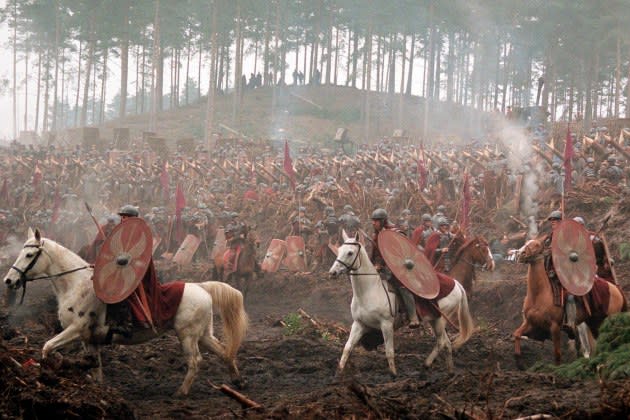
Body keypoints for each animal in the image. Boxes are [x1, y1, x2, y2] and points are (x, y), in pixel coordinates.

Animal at [3, 228, 249, 396]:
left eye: (29, 256)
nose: (9, 280)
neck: (76, 284)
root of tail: (202, 287)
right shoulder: (88, 339)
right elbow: (96, 367)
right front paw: (98, 391)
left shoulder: (76, 329)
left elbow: (47, 347)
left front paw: (45, 374)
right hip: (203, 334)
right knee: (224, 351)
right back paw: (237, 381)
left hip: (187, 335)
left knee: (196, 361)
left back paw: (181, 392)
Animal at [330, 230, 474, 374]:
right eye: (339, 250)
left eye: (350, 253)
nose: (333, 272)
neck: (369, 290)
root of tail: (456, 283)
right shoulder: (359, 324)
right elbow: (347, 348)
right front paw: (339, 372)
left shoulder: (386, 325)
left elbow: (389, 352)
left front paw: (393, 374)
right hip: (434, 319)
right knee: (446, 343)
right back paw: (448, 370)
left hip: (440, 319)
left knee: (442, 342)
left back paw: (429, 363)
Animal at [516, 240, 628, 368]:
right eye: (526, 243)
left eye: (537, 245)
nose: (521, 254)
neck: (539, 294)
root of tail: (615, 288)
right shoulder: (530, 322)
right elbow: (516, 334)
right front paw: (518, 361)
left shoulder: (554, 327)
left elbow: (557, 354)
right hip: (595, 322)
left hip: (608, 319)